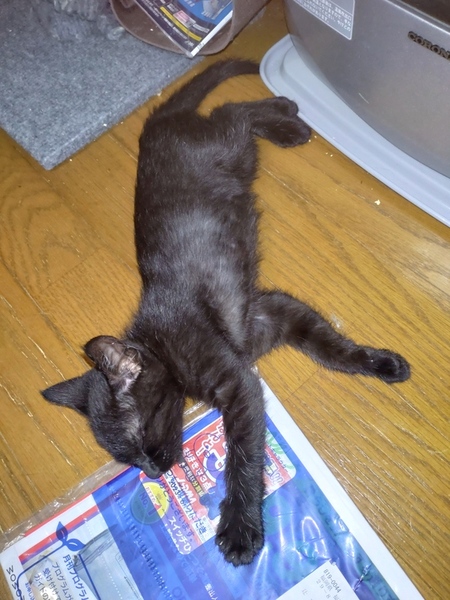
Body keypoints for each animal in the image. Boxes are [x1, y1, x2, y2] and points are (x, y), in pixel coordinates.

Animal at [42, 59, 410, 567]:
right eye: (127, 460)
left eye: (141, 439)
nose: (153, 473)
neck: (162, 343)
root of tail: (156, 124)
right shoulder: (272, 313)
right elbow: (328, 345)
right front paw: (380, 363)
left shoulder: (240, 383)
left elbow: (244, 456)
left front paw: (239, 528)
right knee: (228, 110)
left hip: (230, 147)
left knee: (233, 110)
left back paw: (288, 116)